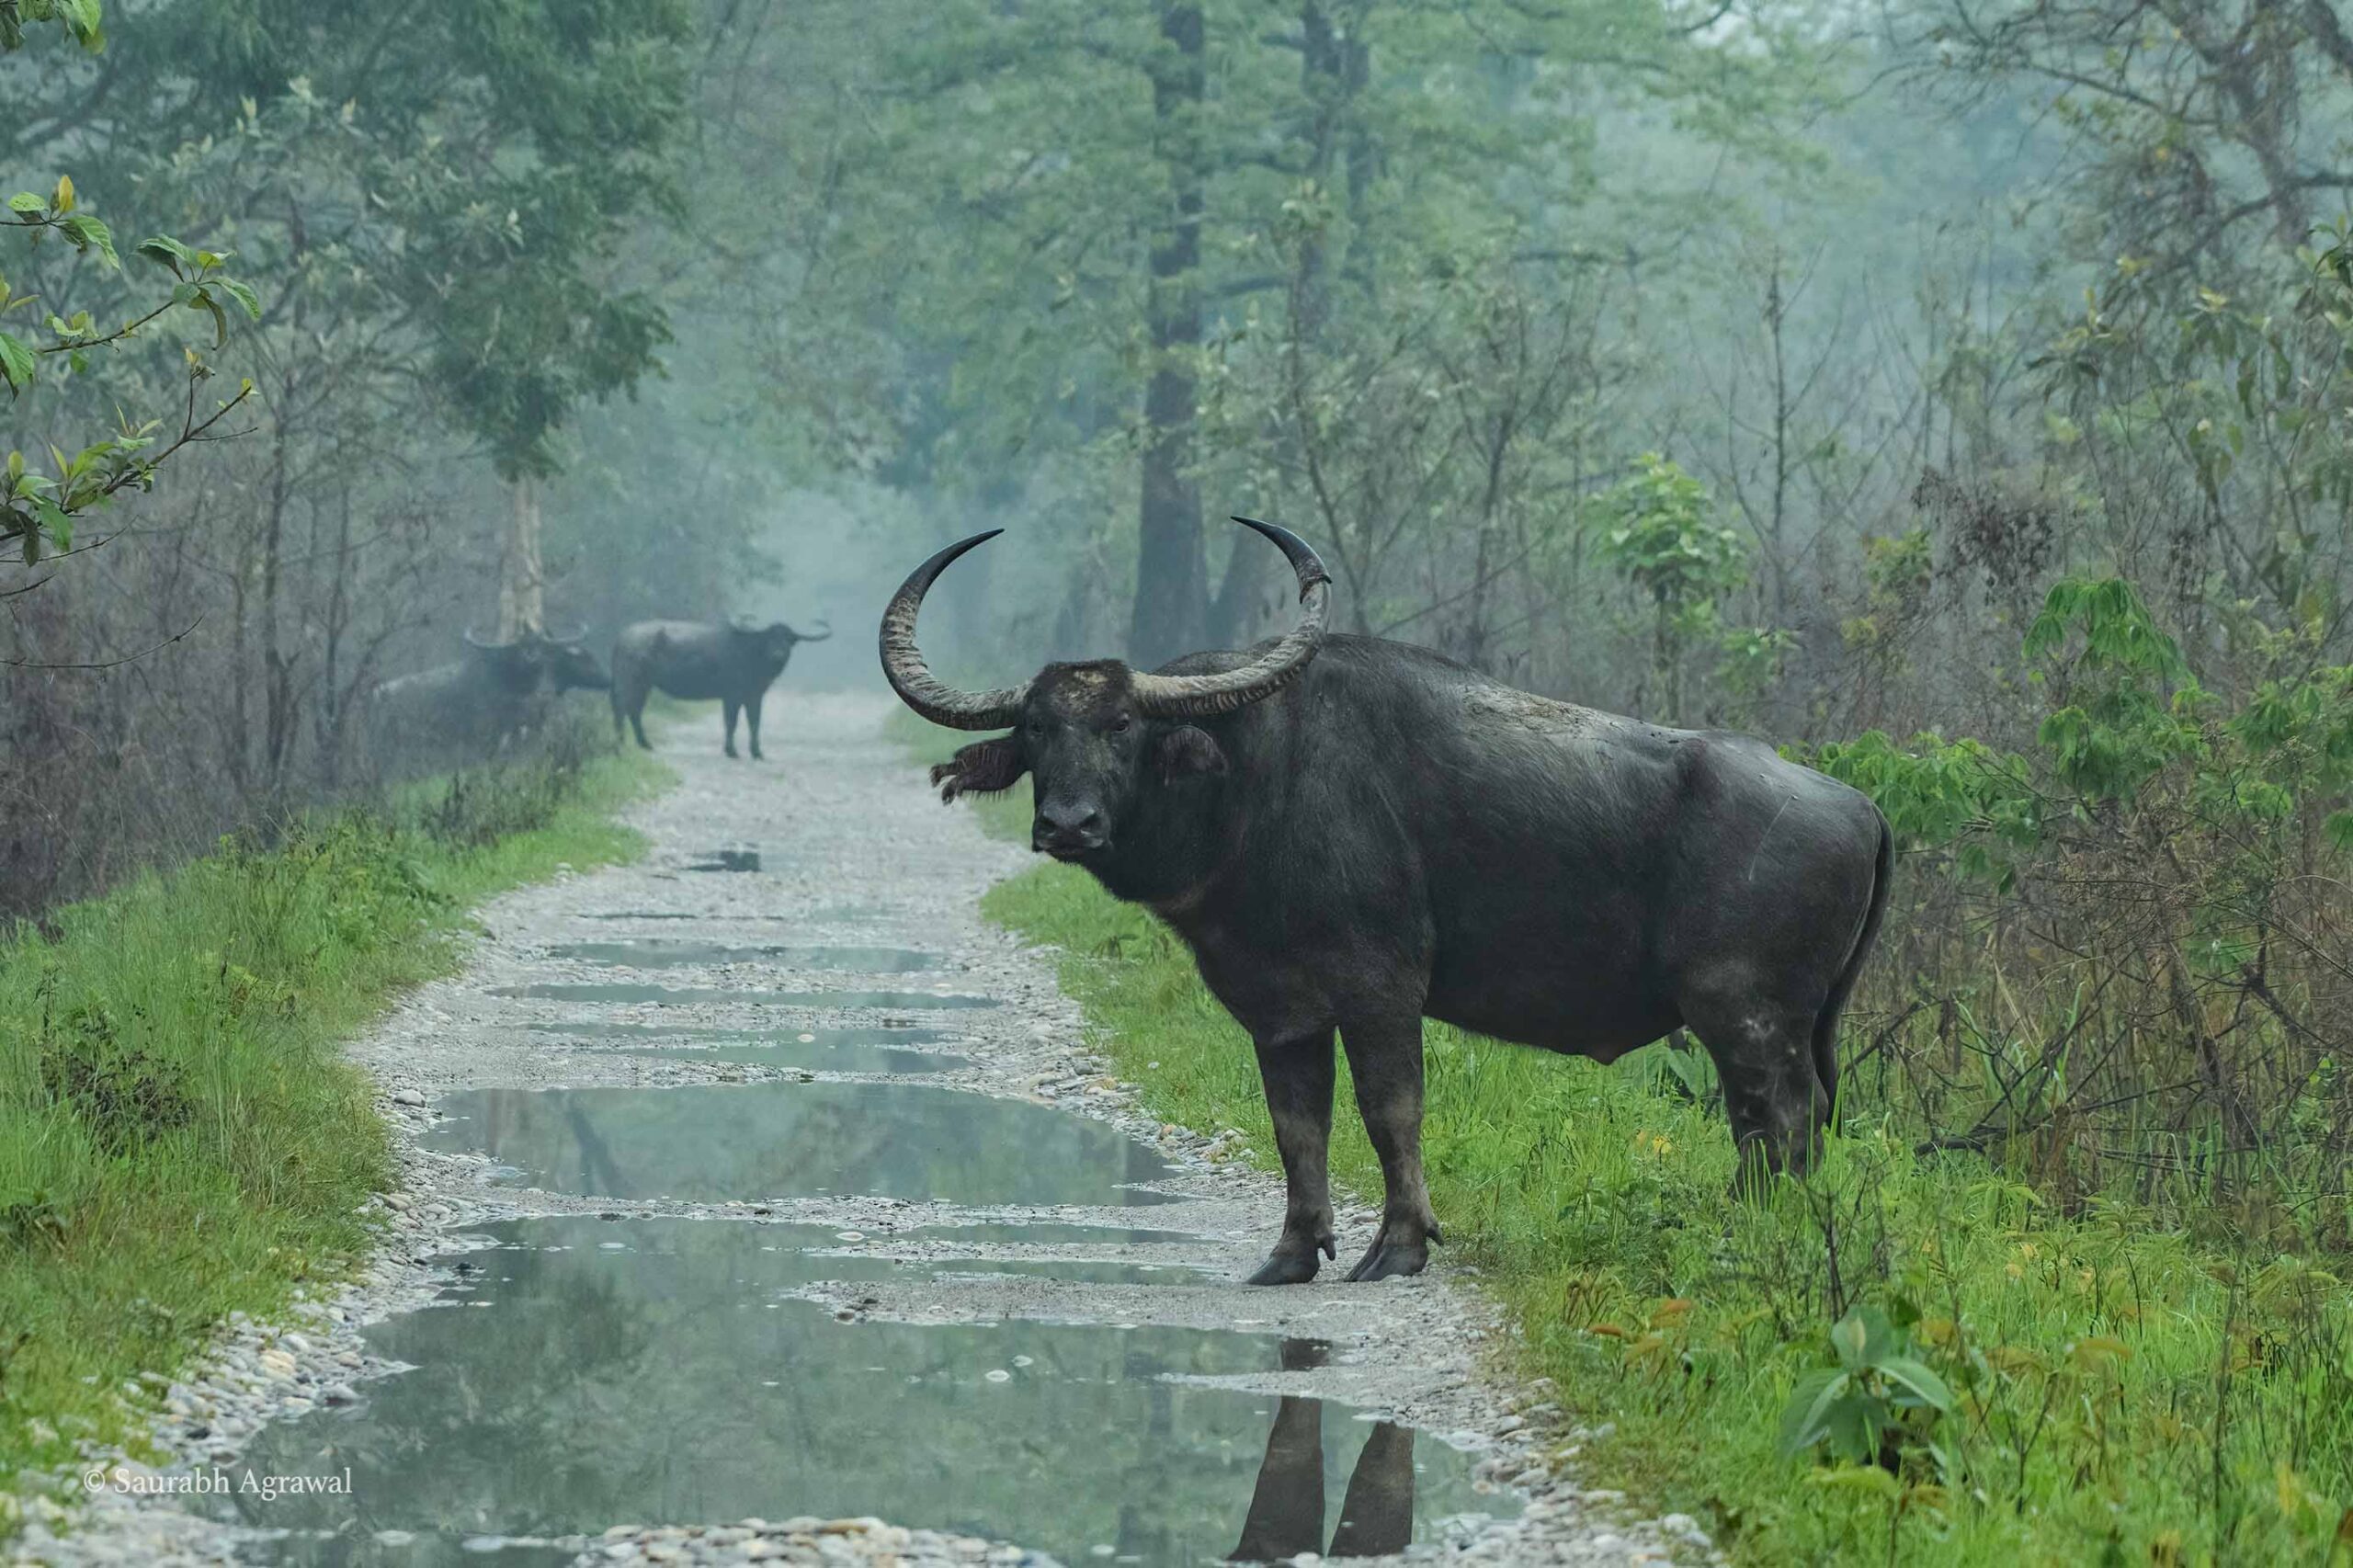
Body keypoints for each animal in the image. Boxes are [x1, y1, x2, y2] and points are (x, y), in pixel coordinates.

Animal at [609, 618, 832, 759]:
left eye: (789, 639)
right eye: (769, 637)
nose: (778, 654)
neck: (750, 654)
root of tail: (622, 637)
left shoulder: (755, 696)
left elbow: (754, 722)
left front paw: (757, 752)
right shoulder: (732, 695)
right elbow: (731, 722)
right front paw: (731, 751)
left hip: (645, 684)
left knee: (634, 711)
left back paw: (644, 743)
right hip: (630, 680)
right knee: (622, 708)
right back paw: (619, 744)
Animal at [882, 518, 1891, 1285]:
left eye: (1123, 724)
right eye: (1036, 728)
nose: (1068, 823)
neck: (1256, 783)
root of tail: (1859, 806)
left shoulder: (1382, 991)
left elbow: (1389, 1111)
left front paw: (1398, 1247)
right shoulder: (1279, 1009)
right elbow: (1297, 1127)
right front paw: (1292, 1254)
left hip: (1747, 1016)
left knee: (1780, 1125)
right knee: (1778, 1128)